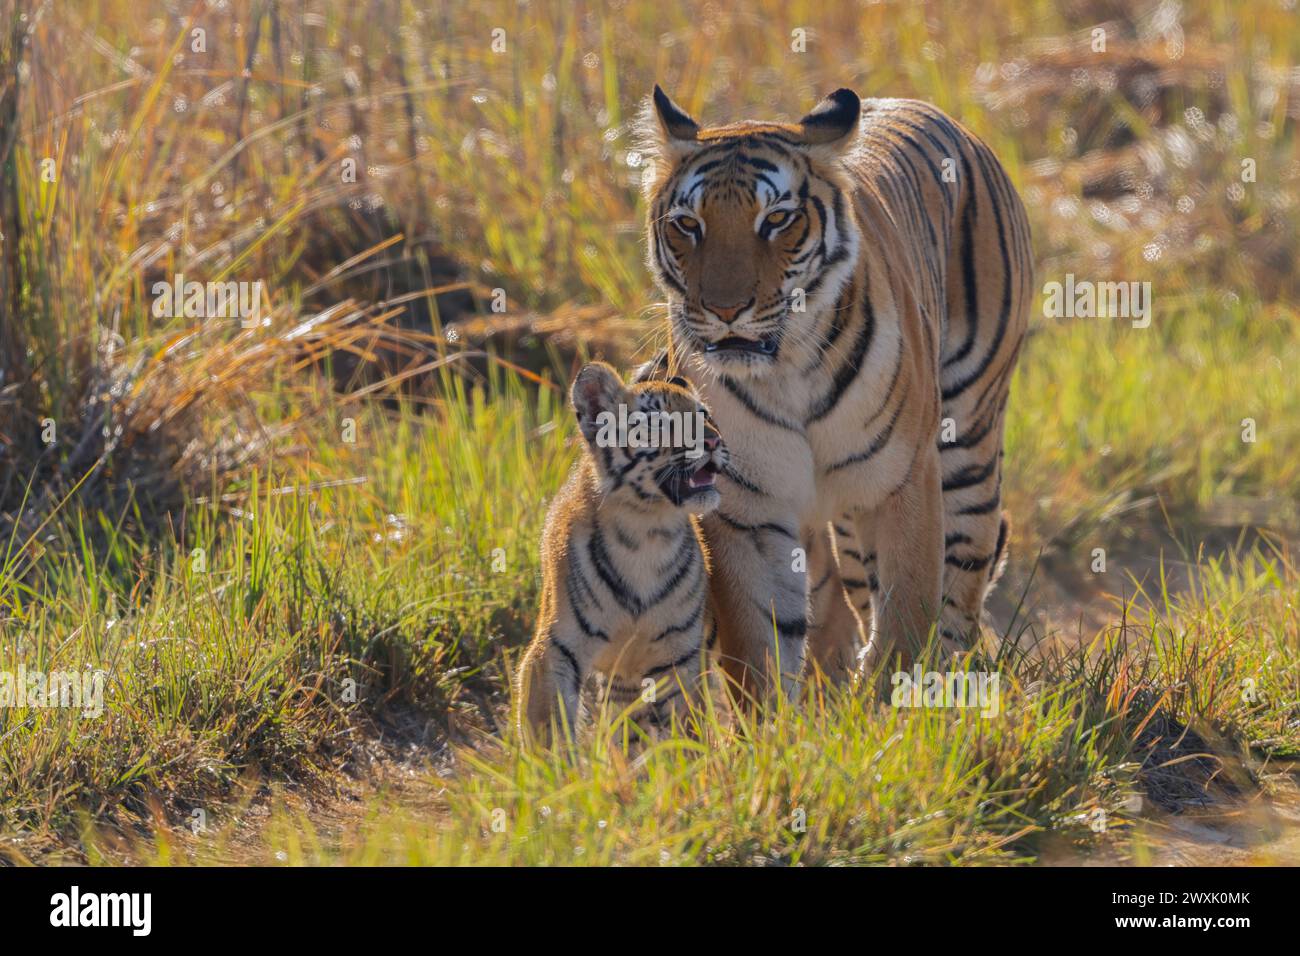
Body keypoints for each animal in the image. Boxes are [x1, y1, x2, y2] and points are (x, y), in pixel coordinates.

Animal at [634, 85, 1029, 697]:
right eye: (688, 224)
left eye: (777, 219)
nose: (725, 309)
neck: (788, 371)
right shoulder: (745, 508)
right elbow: (759, 643)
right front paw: (780, 719)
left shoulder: (902, 480)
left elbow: (907, 614)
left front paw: (894, 707)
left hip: (968, 442)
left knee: (963, 579)